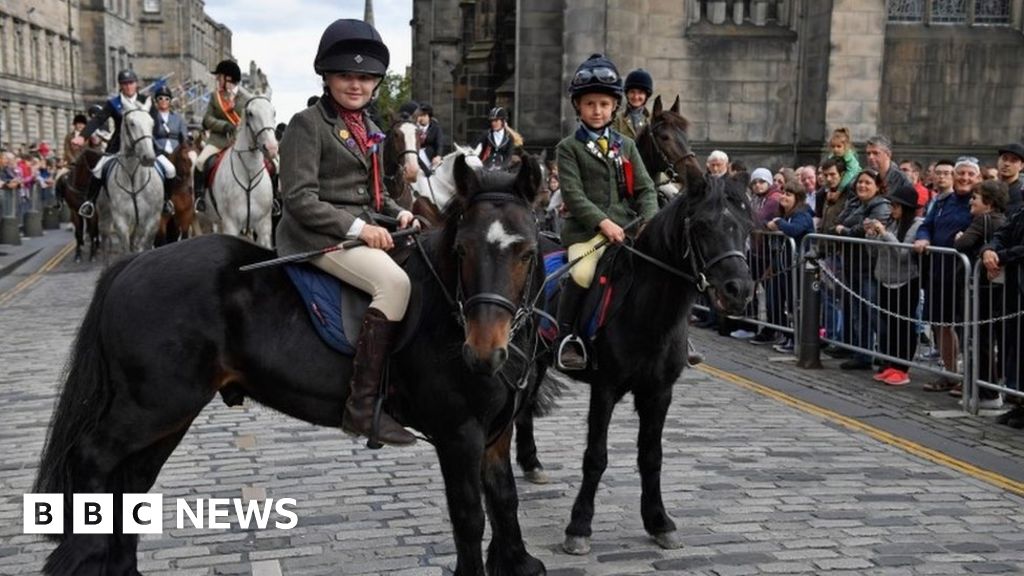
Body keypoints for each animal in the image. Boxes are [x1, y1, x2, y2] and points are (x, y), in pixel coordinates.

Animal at [36, 154, 552, 569]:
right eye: (463, 249)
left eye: (528, 252)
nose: (483, 352)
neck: (449, 310)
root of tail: (132, 265)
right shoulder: (458, 432)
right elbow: (469, 515)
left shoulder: (495, 432)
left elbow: (505, 498)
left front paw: (519, 560)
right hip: (150, 406)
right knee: (93, 457)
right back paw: (83, 557)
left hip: (168, 413)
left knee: (132, 481)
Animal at [98, 108, 163, 256]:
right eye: (132, 123)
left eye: (152, 123)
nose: (149, 158)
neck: (133, 178)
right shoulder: (120, 220)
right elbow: (126, 249)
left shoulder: (153, 219)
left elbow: (144, 245)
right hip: (104, 217)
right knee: (105, 244)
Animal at [200, 94, 278, 247]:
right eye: (250, 113)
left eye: (274, 112)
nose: (271, 148)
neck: (249, 175)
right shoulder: (231, 225)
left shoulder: (264, 227)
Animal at [512, 107, 753, 553]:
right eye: (703, 226)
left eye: (746, 225)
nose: (739, 290)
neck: (652, 311)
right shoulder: (605, 387)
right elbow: (596, 456)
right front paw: (579, 526)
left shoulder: (659, 392)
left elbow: (651, 456)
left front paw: (659, 521)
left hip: (538, 358)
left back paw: (531, 462)